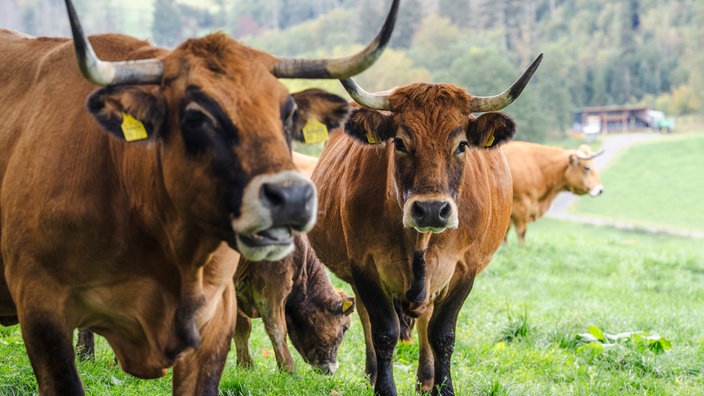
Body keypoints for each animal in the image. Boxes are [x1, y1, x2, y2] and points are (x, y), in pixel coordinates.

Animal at [235, 234, 354, 376]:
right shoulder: (274, 283)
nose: (332, 369)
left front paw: (245, 368)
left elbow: (242, 327)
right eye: (344, 328)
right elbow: (277, 328)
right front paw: (289, 371)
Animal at [308, 54, 544, 394]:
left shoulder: (464, 267)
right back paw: (372, 373)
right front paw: (383, 386)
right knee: (367, 317)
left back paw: (426, 378)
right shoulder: (364, 265)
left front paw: (443, 388)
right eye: (400, 142)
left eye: (461, 145)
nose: (432, 210)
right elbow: (384, 331)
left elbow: (442, 334)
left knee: (425, 320)